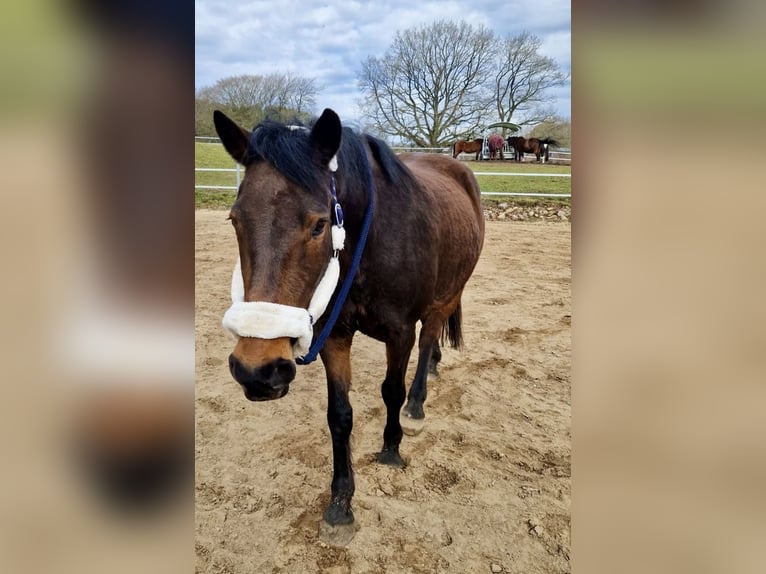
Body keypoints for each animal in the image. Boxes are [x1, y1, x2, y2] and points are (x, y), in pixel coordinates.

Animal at [213, 108, 486, 540]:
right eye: (234, 219)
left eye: (319, 224)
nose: (257, 369)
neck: (369, 245)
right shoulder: (335, 337)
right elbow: (339, 416)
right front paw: (341, 501)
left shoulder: (400, 333)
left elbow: (391, 390)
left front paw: (391, 448)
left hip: (446, 296)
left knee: (428, 342)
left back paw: (417, 403)